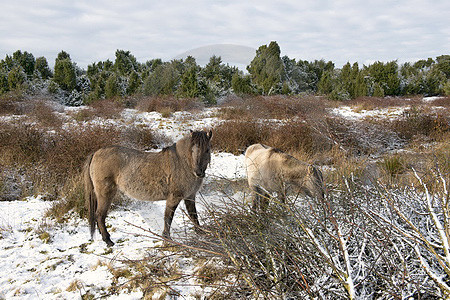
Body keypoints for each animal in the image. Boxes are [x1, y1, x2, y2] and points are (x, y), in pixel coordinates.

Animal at [84, 129, 213, 246]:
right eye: (192, 149)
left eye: (207, 150)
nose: (198, 172)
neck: (183, 163)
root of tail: (96, 153)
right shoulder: (173, 198)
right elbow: (168, 218)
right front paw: (167, 239)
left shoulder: (190, 196)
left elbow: (193, 215)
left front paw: (200, 232)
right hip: (105, 193)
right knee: (100, 215)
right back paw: (108, 240)